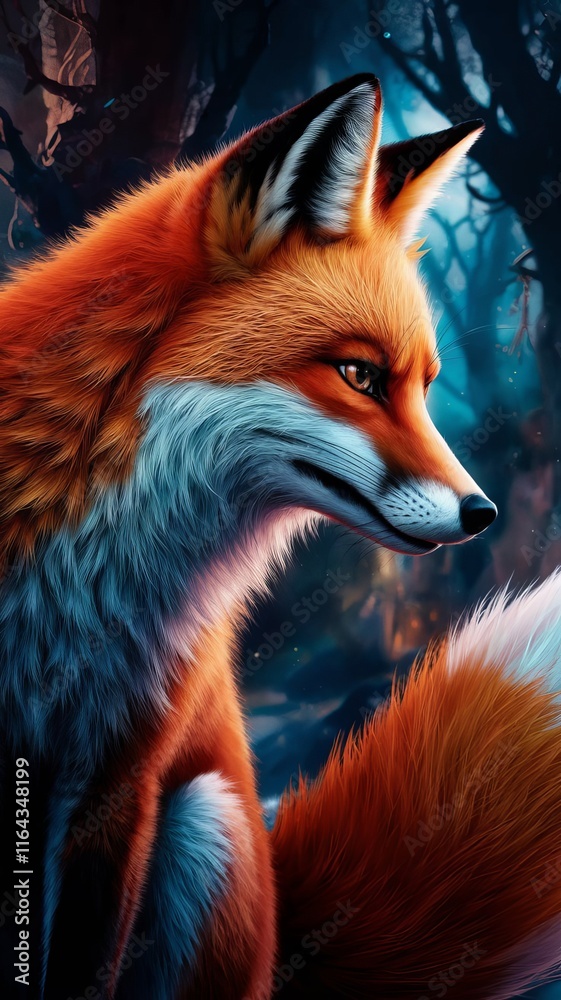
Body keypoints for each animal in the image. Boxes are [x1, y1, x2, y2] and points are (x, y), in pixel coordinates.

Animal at [1, 71, 561, 1000]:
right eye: (359, 375)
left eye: (423, 384)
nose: (480, 513)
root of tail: (278, 949)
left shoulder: (120, 771)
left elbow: (79, 972)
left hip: (206, 821)